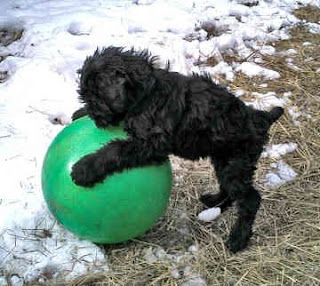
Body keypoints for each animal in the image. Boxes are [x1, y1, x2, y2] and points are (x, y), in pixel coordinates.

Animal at [71, 47, 284, 252]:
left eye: (96, 98)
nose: (95, 116)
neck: (146, 94)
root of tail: (261, 117)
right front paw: (78, 113)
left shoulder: (152, 143)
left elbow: (115, 149)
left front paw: (85, 169)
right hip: (224, 160)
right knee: (230, 190)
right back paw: (213, 201)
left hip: (237, 162)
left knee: (250, 199)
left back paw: (238, 238)